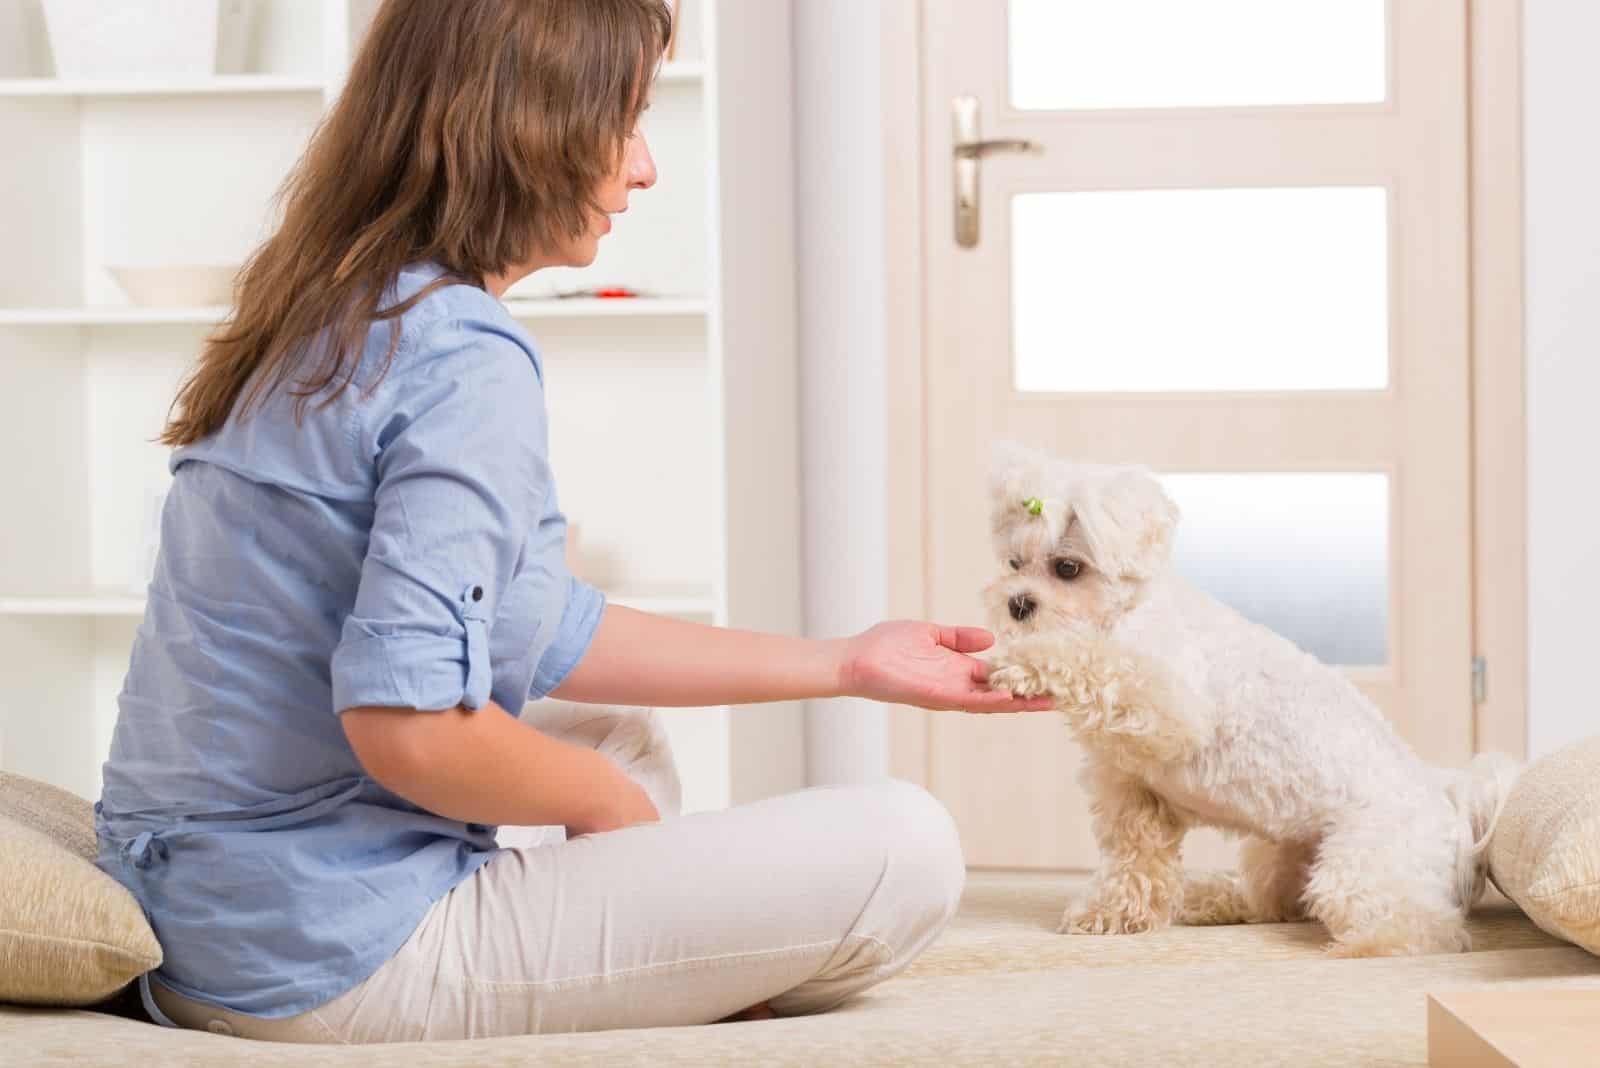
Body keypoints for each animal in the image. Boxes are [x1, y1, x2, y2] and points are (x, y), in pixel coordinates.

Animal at [979, 438, 1516, 952]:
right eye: (1014, 562)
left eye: (1067, 568)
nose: (1017, 603)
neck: (1126, 614)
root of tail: (1446, 796)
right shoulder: (1132, 789)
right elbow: (1136, 861)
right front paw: (1113, 914)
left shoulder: (1168, 701)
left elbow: (1091, 660)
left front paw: (1021, 663)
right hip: (1280, 852)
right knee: (1277, 902)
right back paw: (1212, 899)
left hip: (1356, 863)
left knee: (1428, 927)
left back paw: (1365, 945)